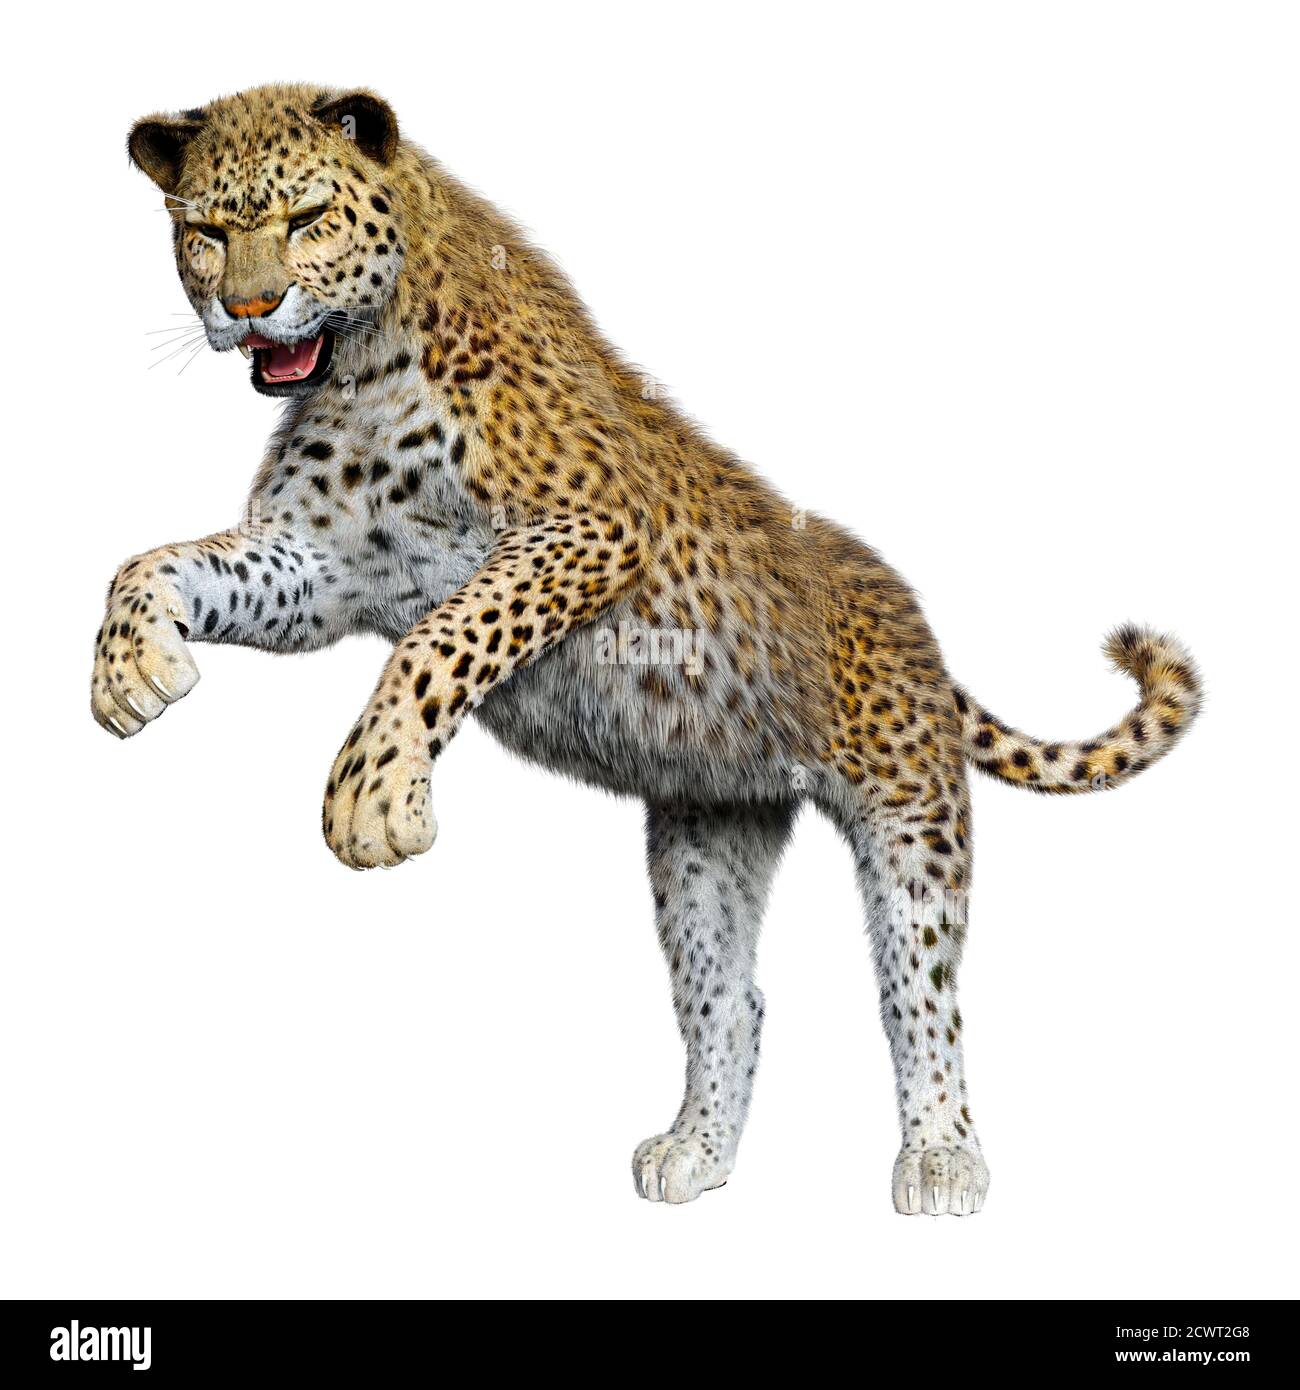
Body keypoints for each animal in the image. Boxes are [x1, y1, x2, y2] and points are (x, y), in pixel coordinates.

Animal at [94, 83, 1202, 1214]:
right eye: (203, 233)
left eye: (308, 217)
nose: (248, 308)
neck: (357, 370)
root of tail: (910, 616)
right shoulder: (321, 569)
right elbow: (153, 565)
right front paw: (133, 667)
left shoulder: (591, 524)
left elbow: (444, 637)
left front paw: (375, 792)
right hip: (707, 836)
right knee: (731, 1000)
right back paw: (697, 1152)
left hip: (913, 819)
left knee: (918, 996)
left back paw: (939, 1157)